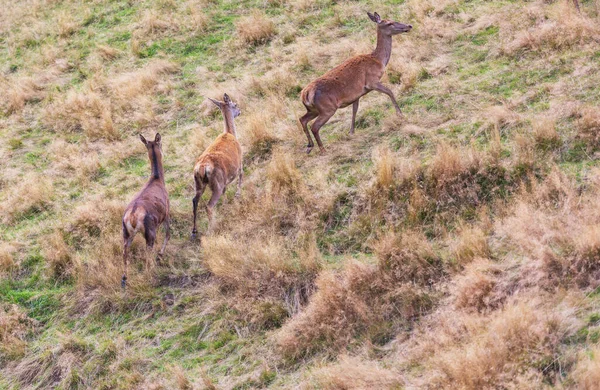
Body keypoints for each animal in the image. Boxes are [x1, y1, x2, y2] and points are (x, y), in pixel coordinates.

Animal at [120, 134, 170, 290]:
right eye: (161, 143)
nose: (163, 150)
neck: (158, 180)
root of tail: (132, 217)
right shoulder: (167, 211)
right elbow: (168, 234)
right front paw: (160, 254)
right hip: (149, 231)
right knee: (147, 253)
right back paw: (151, 274)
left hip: (126, 233)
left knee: (124, 252)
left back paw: (124, 278)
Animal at [190, 94, 241, 241]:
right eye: (235, 104)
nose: (239, 111)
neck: (230, 133)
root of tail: (201, 168)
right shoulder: (240, 161)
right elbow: (241, 177)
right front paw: (238, 195)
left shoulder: (224, 180)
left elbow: (225, 191)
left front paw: (225, 205)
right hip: (216, 183)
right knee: (209, 205)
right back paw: (210, 229)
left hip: (199, 183)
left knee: (194, 201)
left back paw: (194, 231)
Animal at [300, 12, 412, 153]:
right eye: (389, 23)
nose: (409, 25)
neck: (379, 61)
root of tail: (305, 94)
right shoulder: (371, 81)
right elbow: (390, 92)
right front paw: (400, 113)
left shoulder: (357, 94)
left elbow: (354, 110)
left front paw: (351, 131)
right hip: (327, 108)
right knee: (314, 126)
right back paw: (322, 149)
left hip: (313, 109)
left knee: (302, 119)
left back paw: (309, 146)